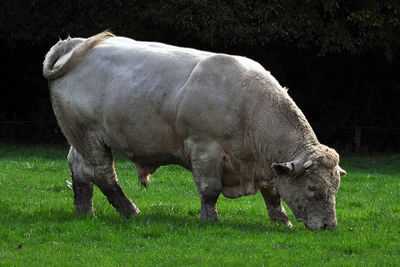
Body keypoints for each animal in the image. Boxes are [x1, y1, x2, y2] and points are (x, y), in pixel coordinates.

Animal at [42, 32, 346, 231]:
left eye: (335, 188)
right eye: (312, 187)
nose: (329, 226)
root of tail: (74, 43)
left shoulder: (266, 165)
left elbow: (272, 193)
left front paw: (282, 221)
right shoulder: (205, 149)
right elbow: (210, 190)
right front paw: (210, 219)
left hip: (79, 137)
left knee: (80, 169)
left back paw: (85, 212)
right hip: (89, 136)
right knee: (103, 175)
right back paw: (131, 212)